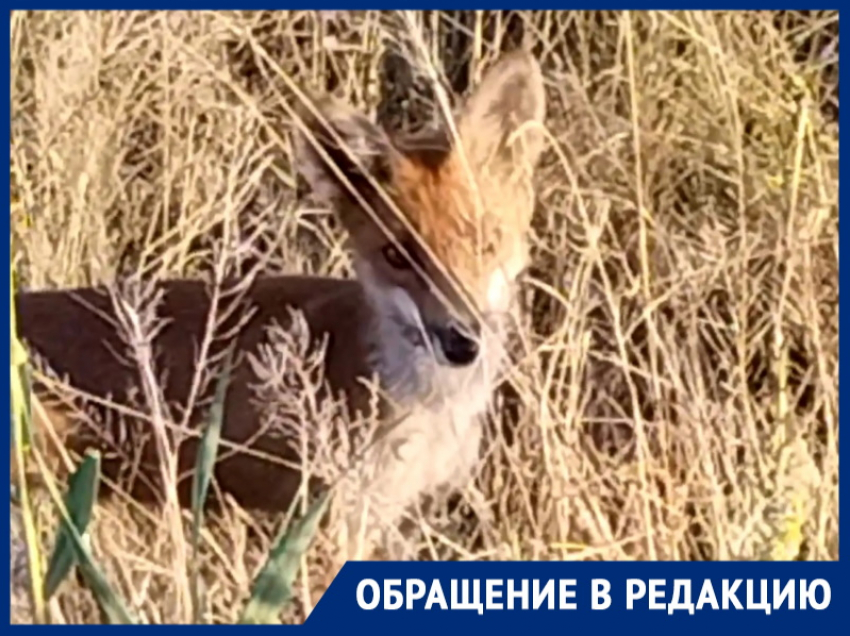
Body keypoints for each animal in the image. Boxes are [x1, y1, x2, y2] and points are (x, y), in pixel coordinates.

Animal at [12, 49, 547, 560]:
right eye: (397, 256)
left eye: (484, 242)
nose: (460, 341)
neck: (429, 407)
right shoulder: (332, 521)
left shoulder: (406, 518)